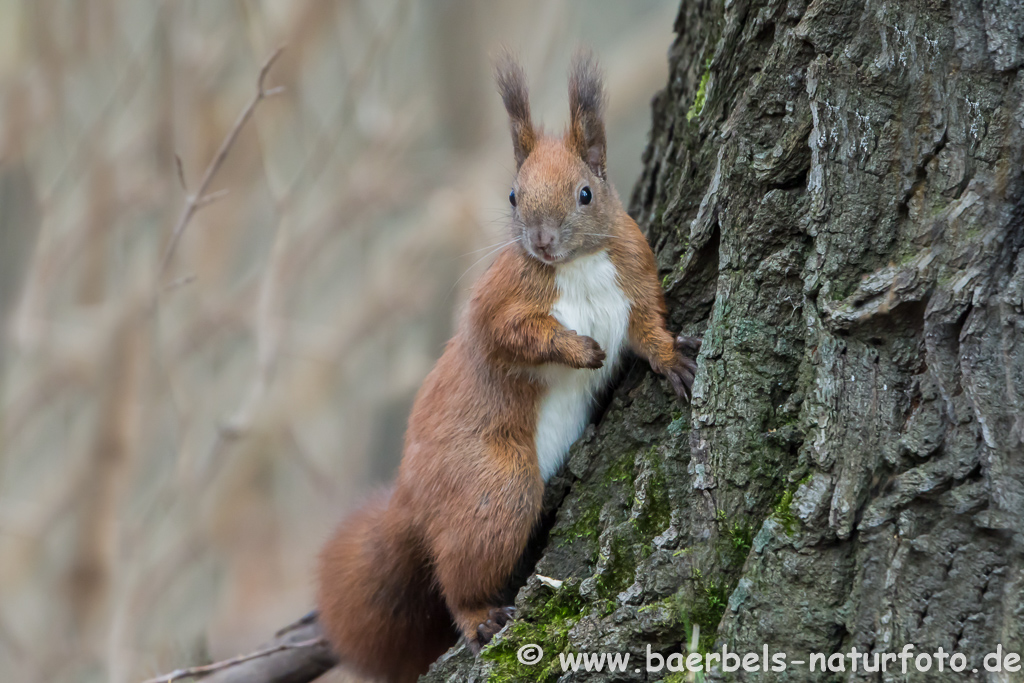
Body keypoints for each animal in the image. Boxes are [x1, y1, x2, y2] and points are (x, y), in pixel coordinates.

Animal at [315, 50, 700, 679]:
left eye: (586, 192)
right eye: (514, 196)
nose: (540, 241)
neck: (575, 264)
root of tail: (410, 501)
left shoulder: (636, 280)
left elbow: (648, 332)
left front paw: (673, 361)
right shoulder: (498, 303)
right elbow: (512, 337)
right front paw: (578, 351)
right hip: (493, 484)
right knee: (458, 577)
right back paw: (478, 616)